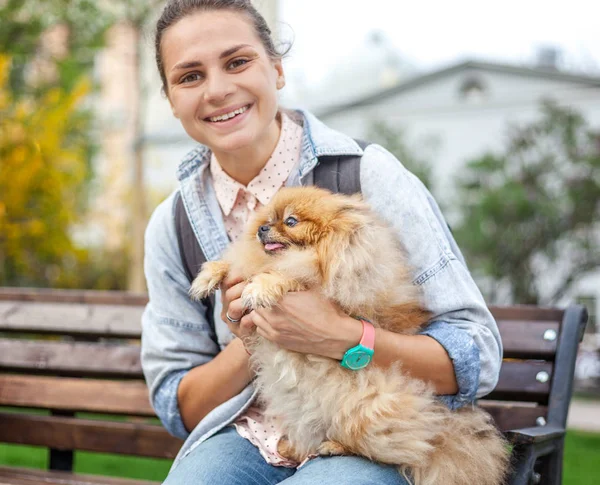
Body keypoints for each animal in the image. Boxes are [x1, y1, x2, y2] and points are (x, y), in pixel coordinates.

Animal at [190, 186, 508, 484]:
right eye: (268, 220)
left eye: (290, 221)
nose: (262, 229)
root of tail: (440, 425)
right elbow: (233, 266)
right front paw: (208, 277)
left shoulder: (325, 283)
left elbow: (290, 276)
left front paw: (261, 286)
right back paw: (292, 446)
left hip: (365, 409)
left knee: (393, 447)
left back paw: (334, 446)